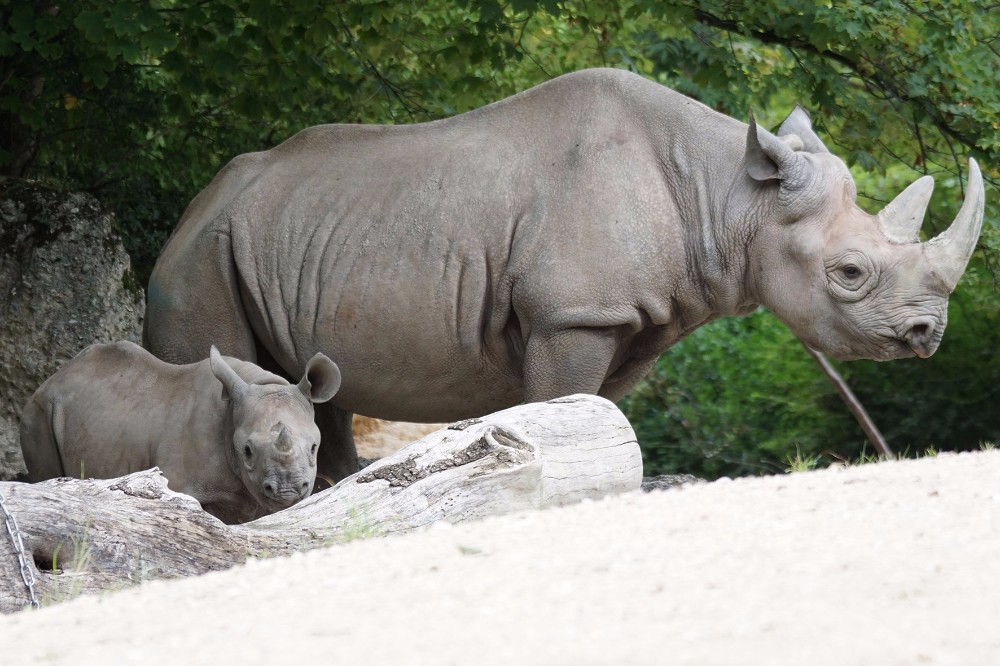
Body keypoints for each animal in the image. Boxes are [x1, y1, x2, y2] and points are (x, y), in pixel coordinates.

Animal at [144, 68, 985, 485]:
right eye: (850, 271)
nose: (929, 334)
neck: (729, 197)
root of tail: (190, 211)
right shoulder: (572, 314)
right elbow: (561, 406)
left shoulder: (627, 318)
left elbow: (595, 414)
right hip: (201, 258)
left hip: (270, 237)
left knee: (319, 389)